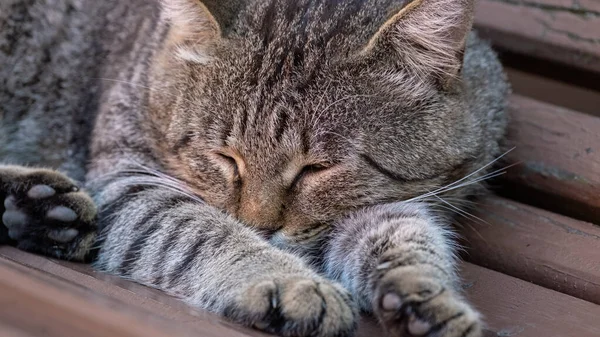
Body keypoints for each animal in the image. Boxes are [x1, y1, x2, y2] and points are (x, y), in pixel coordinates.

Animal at [0, 0, 508, 336]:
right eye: (226, 157)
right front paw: (288, 279)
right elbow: (199, 231)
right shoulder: (130, 179)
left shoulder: (392, 200)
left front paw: (427, 297)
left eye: (316, 169)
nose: (259, 226)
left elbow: (404, 235)